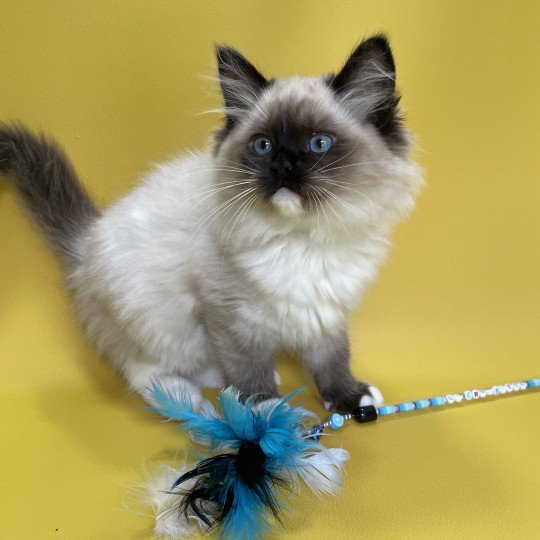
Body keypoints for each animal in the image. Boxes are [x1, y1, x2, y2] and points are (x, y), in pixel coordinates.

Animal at [0, 33, 422, 414]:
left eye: (319, 144)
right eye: (263, 146)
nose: (282, 167)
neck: (304, 239)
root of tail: (88, 240)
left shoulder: (326, 308)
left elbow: (331, 358)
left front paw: (349, 399)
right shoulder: (228, 316)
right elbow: (248, 369)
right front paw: (265, 414)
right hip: (162, 321)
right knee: (142, 370)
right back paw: (188, 400)